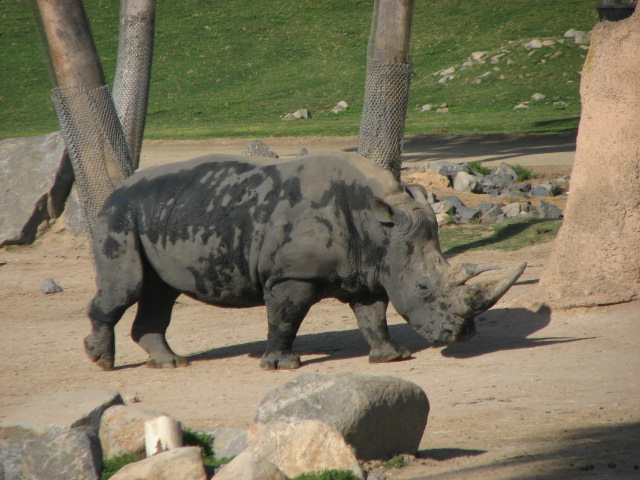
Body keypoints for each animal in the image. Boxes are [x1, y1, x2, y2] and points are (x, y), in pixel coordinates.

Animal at [85, 151, 525, 370]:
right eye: (423, 288)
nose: (461, 336)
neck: (379, 225)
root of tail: (115, 191)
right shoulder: (291, 274)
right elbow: (285, 317)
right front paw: (282, 366)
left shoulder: (370, 268)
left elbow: (373, 315)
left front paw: (391, 357)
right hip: (120, 215)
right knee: (129, 287)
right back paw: (102, 361)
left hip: (161, 212)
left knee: (160, 292)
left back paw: (172, 363)